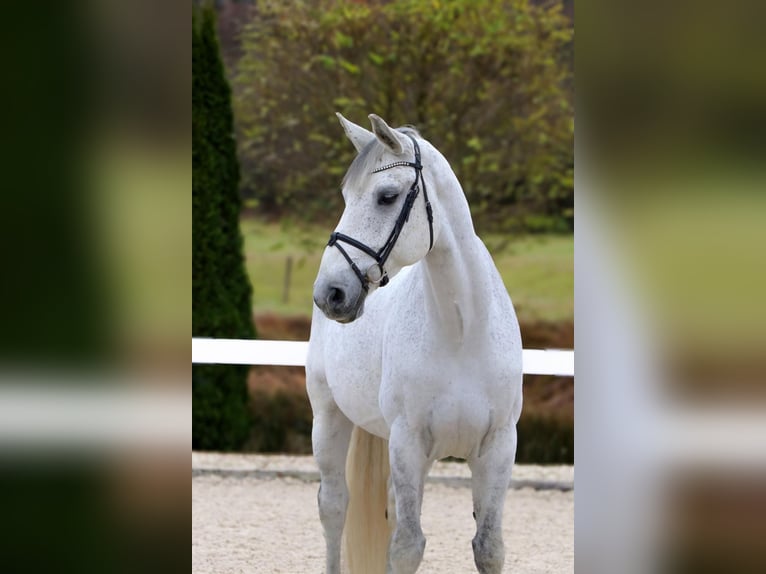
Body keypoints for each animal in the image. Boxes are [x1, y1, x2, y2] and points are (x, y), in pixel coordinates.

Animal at [306, 113, 523, 574]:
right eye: (346, 196)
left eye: (387, 196)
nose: (330, 293)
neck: (461, 333)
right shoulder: (408, 442)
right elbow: (407, 546)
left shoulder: (498, 447)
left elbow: (489, 546)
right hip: (328, 417)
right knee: (334, 506)